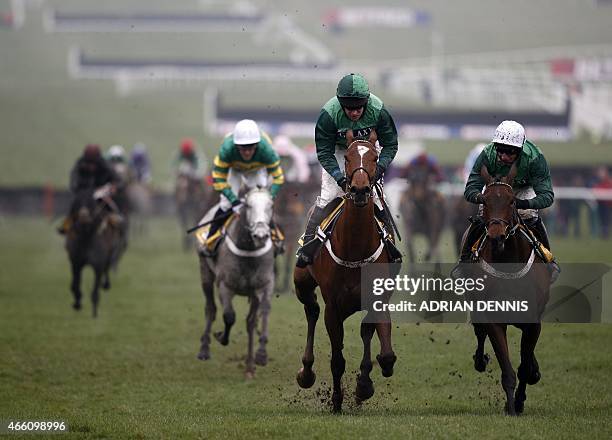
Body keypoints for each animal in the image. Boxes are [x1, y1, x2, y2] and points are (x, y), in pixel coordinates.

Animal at [196, 187, 274, 376]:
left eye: (271, 205)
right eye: (248, 205)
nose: (261, 235)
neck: (248, 249)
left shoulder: (265, 285)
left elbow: (263, 313)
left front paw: (261, 355)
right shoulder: (225, 286)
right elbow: (229, 316)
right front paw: (221, 337)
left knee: (250, 321)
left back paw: (249, 365)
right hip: (205, 272)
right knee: (210, 308)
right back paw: (204, 349)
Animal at [296, 131, 400, 412]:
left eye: (374, 157)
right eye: (348, 157)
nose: (361, 189)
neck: (354, 247)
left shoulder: (377, 299)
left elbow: (385, 352)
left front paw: (364, 385)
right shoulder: (333, 306)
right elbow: (337, 359)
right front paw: (336, 401)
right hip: (303, 284)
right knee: (312, 311)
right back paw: (306, 373)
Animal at [470, 165, 552, 416]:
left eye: (512, 201)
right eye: (484, 201)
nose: (496, 235)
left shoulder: (533, 321)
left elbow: (525, 365)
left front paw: (520, 399)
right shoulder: (494, 319)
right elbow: (507, 368)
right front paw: (511, 406)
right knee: (479, 332)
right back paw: (480, 360)